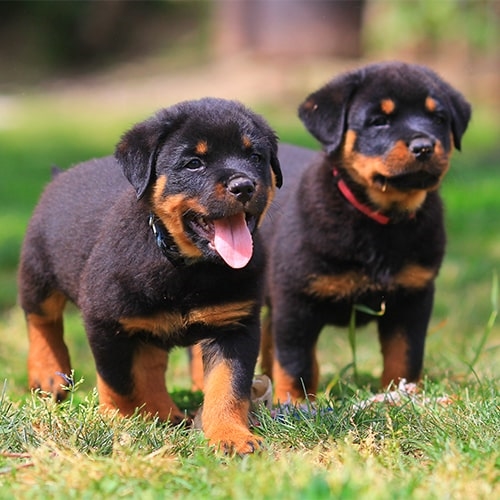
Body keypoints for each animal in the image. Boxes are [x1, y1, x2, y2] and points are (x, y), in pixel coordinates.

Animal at [18, 97, 282, 454]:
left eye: (255, 157)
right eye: (194, 163)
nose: (243, 186)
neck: (189, 268)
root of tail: (61, 177)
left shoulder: (235, 324)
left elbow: (228, 387)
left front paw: (230, 435)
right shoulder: (105, 320)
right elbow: (119, 381)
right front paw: (121, 420)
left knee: (151, 364)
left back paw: (165, 412)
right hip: (38, 270)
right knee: (41, 318)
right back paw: (48, 372)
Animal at [260, 62, 470, 402]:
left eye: (439, 119)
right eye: (378, 121)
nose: (424, 146)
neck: (380, 219)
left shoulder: (413, 298)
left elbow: (405, 355)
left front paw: (400, 395)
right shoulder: (295, 299)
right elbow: (295, 361)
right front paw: (294, 402)